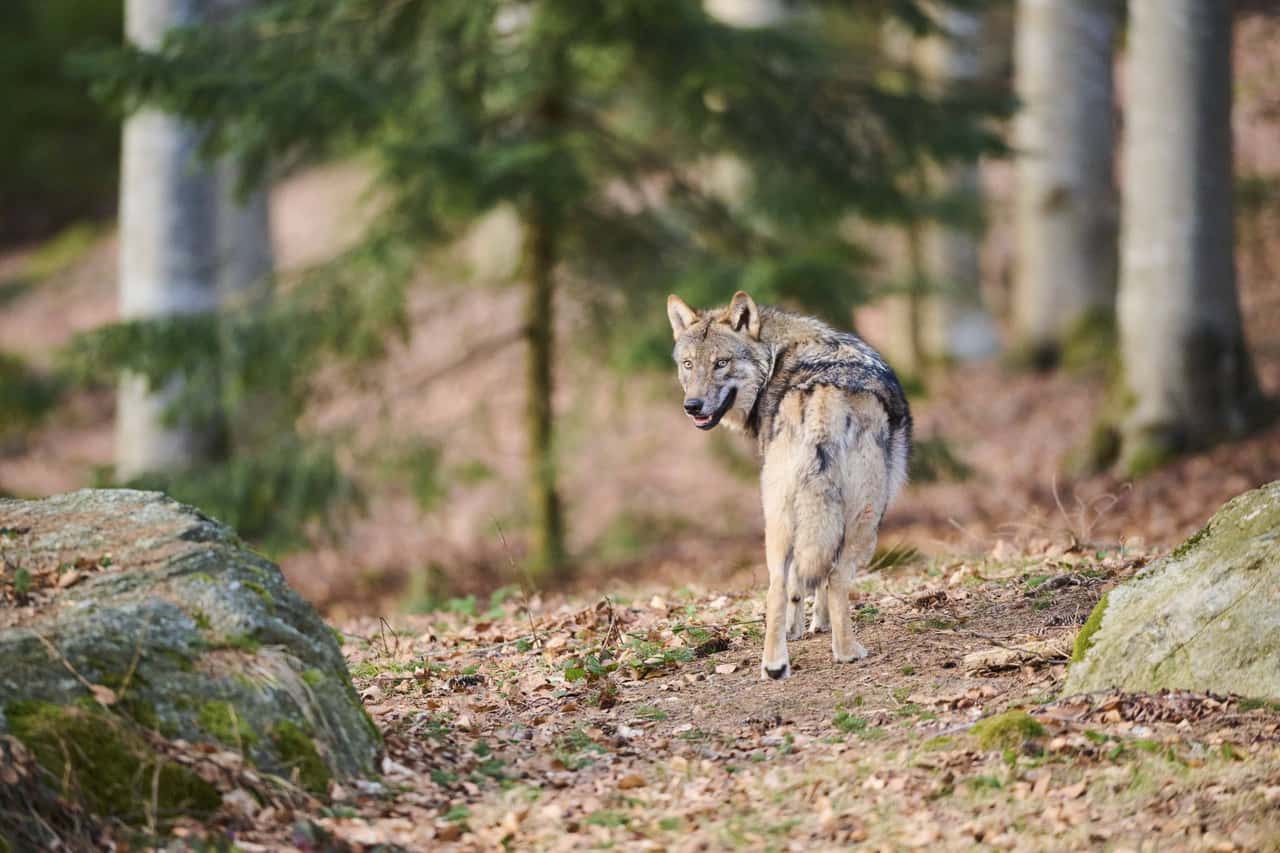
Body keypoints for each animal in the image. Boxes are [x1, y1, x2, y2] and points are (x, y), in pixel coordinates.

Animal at [667, 291, 912, 680]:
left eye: (721, 362)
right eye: (689, 364)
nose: (692, 406)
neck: (774, 357)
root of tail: (824, 395)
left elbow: (799, 580)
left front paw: (798, 629)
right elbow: (822, 579)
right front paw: (818, 625)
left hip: (778, 518)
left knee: (777, 587)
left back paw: (774, 665)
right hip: (868, 519)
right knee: (836, 578)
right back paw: (847, 651)